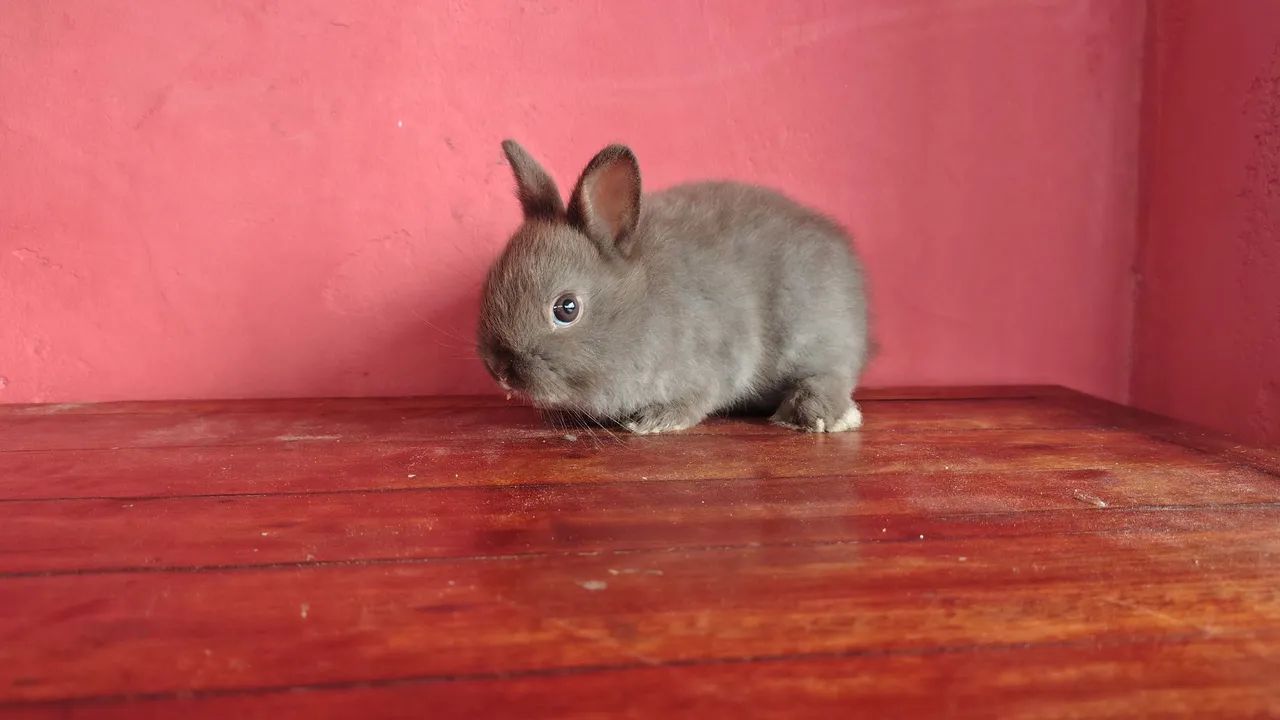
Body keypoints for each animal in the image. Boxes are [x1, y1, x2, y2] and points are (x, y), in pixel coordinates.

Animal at [476, 139, 871, 434]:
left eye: (566, 308)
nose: (499, 370)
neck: (639, 306)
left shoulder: (718, 360)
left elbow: (696, 399)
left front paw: (653, 421)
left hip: (817, 335)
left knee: (831, 374)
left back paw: (813, 417)